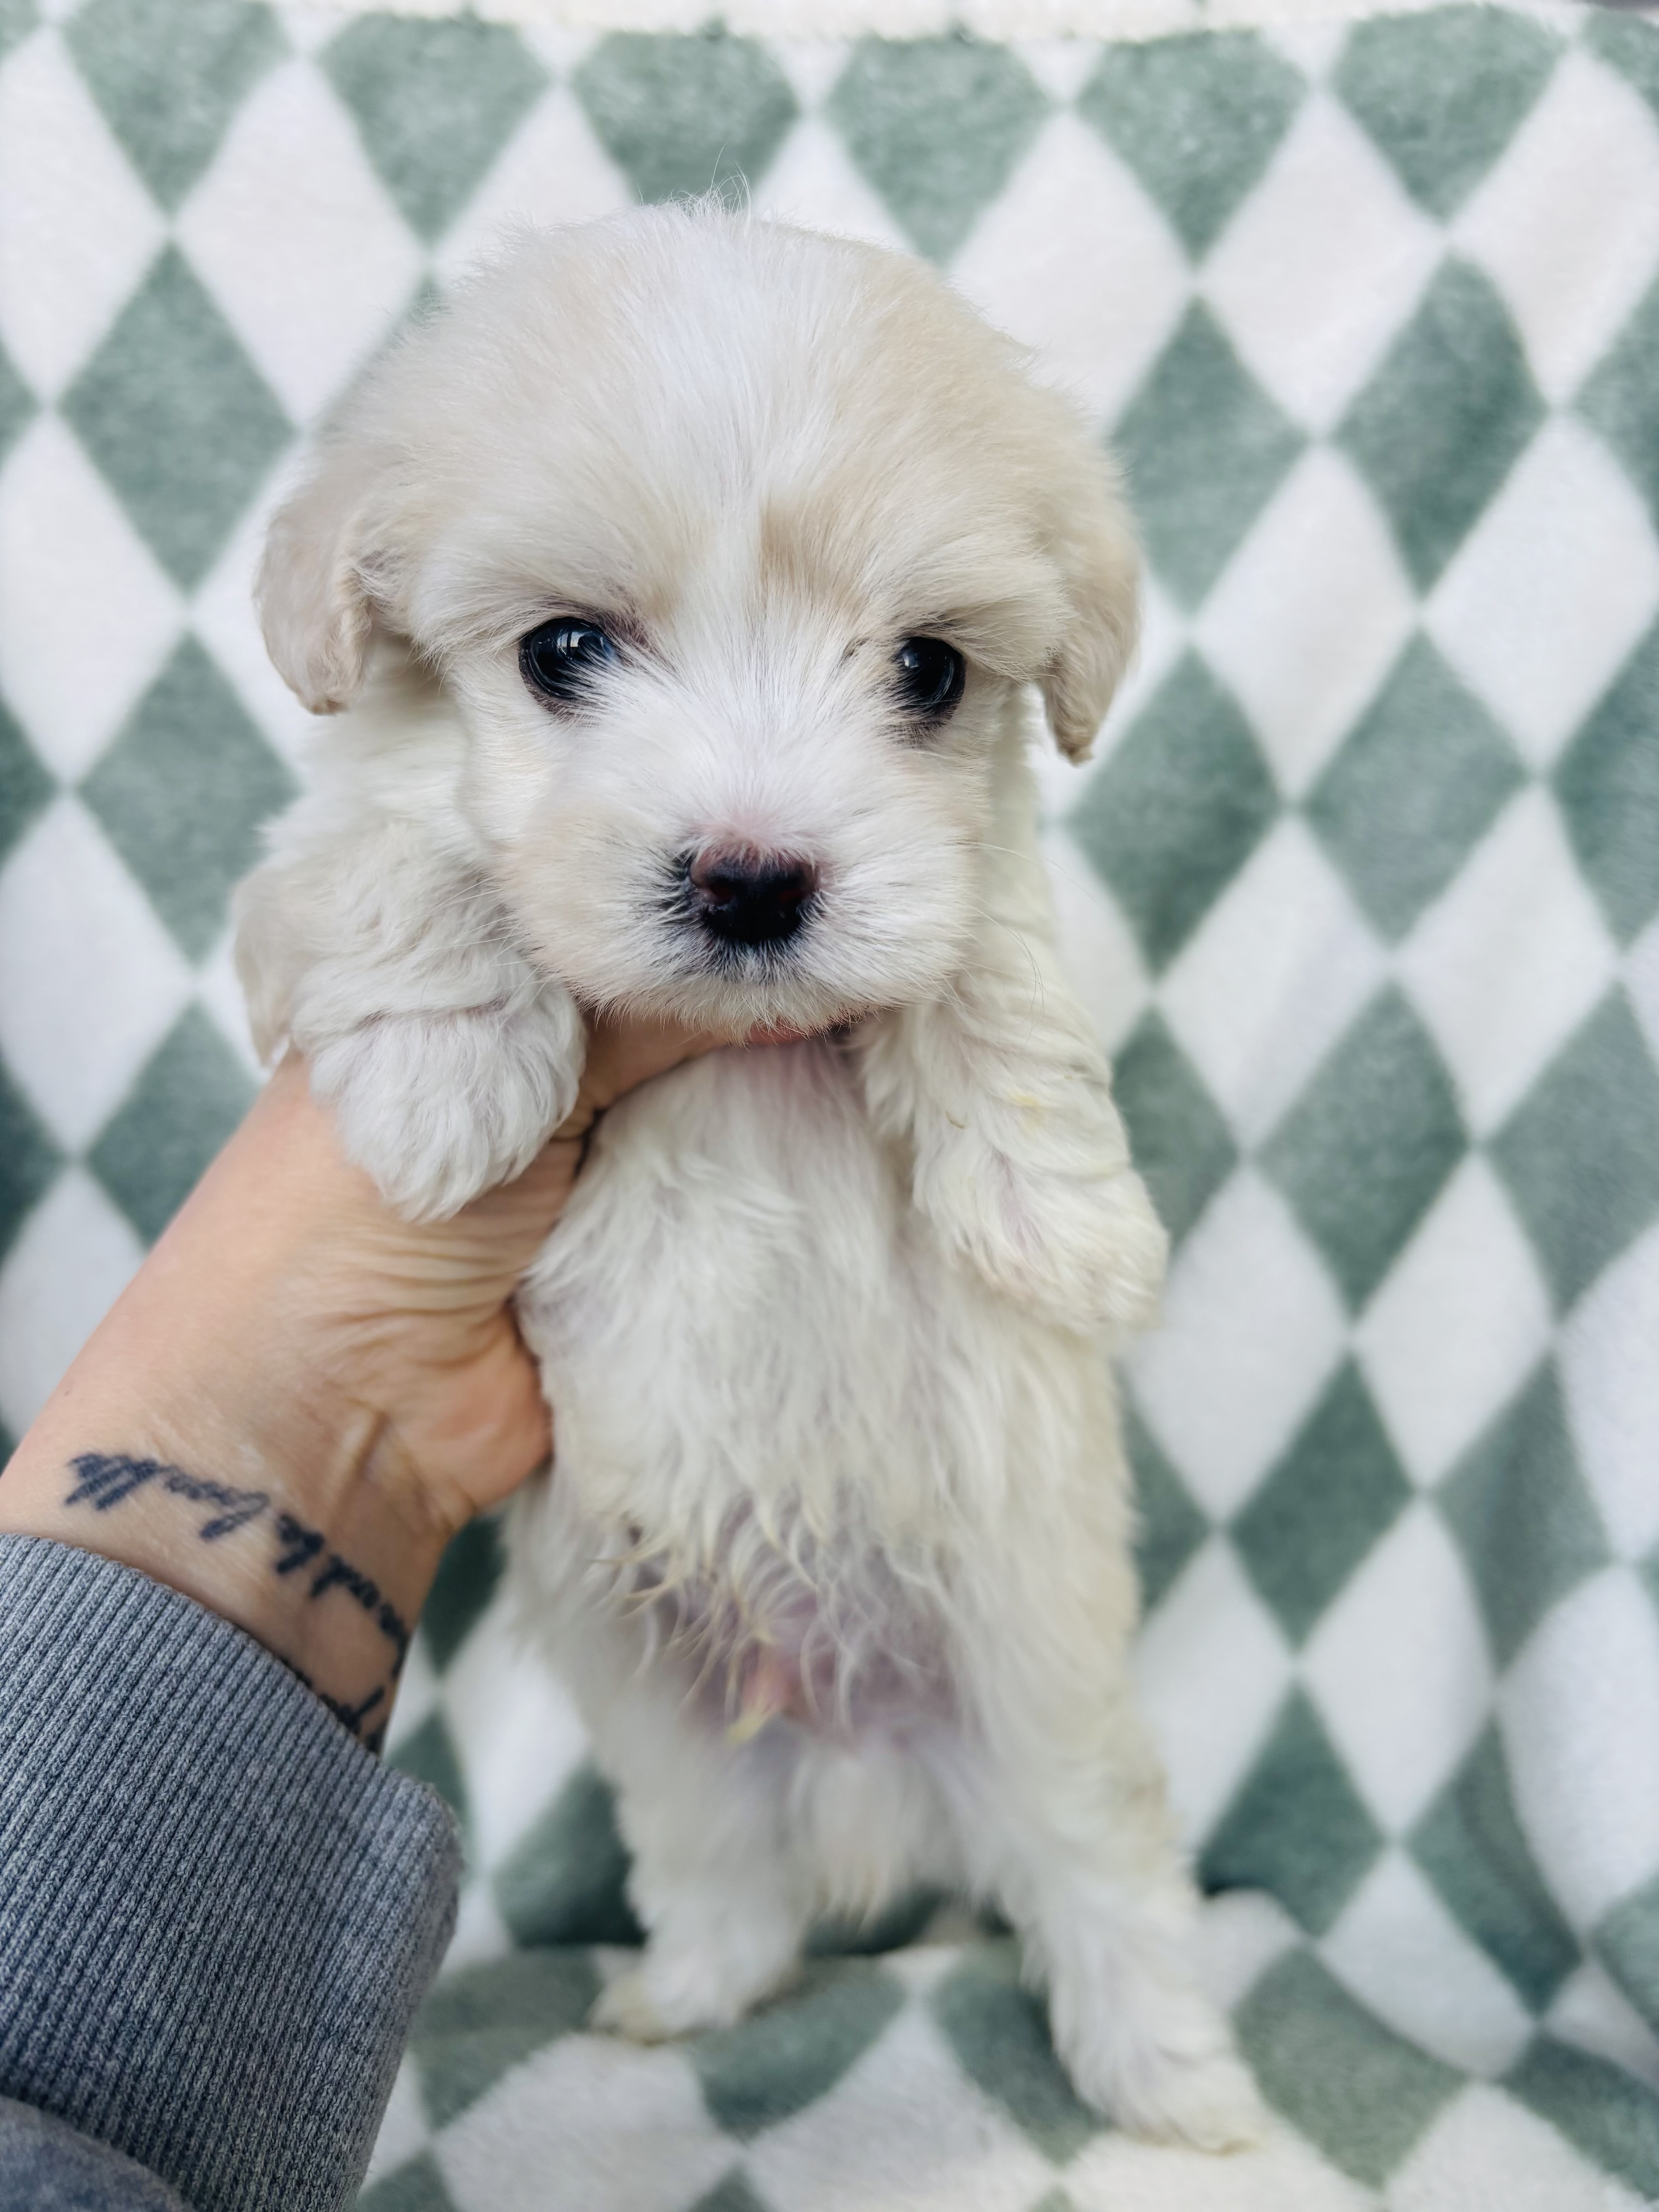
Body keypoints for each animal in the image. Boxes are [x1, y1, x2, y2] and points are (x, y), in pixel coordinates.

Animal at [235, 203, 1264, 2152]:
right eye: (564, 651)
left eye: (928, 671)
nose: (754, 880)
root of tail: (849, 1739)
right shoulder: (327, 852)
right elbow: (392, 853)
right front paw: (441, 1080)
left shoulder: (968, 866)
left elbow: (986, 962)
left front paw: (1070, 1227)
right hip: (659, 1704)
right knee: (722, 1871)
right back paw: (689, 1998)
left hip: (1036, 1686)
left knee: (1100, 1876)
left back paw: (1178, 2084)